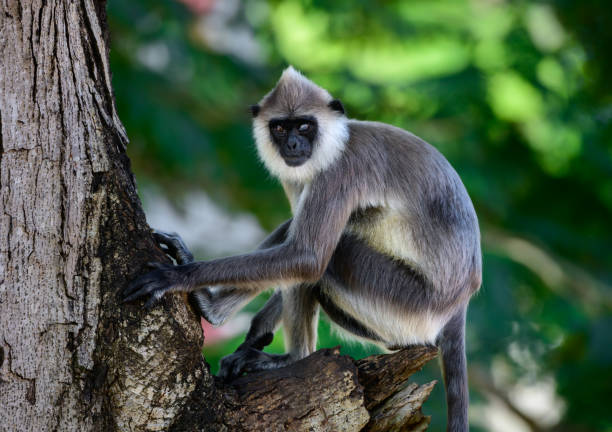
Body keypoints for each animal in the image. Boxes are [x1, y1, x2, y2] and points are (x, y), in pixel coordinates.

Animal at [122, 66, 480, 430]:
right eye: (281, 127)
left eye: (305, 125)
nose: (293, 143)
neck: (339, 142)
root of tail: (458, 305)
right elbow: (294, 246)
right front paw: (250, 333)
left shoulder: (340, 170)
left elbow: (306, 258)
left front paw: (179, 276)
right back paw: (216, 310)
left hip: (408, 301)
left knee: (329, 257)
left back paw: (289, 356)